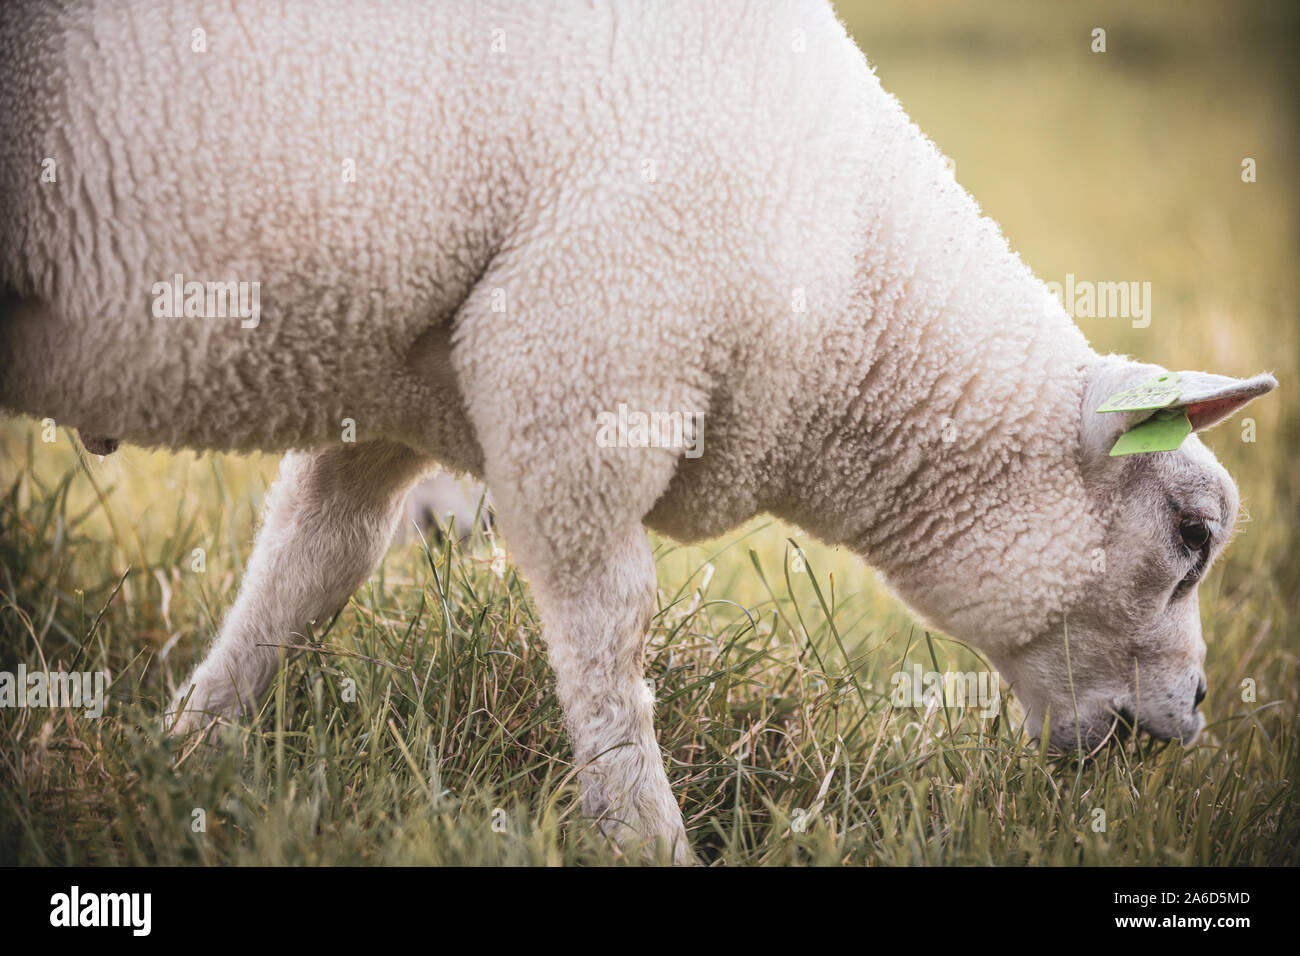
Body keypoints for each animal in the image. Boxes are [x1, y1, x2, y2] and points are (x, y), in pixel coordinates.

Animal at [0, 0, 1279, 868]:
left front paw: (190, 745)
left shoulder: (396, 381)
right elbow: (609, 633)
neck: (852, 295)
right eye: (1189, 535)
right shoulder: (580, 370)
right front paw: (640, 828)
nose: (1195, 716)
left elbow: (306, 568)